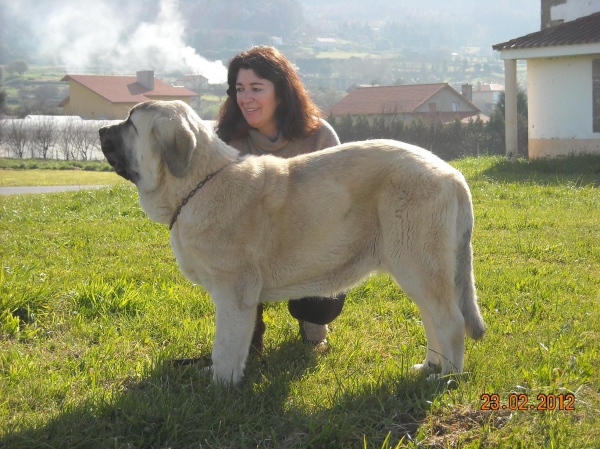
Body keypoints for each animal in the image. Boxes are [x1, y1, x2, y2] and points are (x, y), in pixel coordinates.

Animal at [98, 100, 482, 384]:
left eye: (130, 123)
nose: (100, 129)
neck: (198, 183)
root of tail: (452, 174)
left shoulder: (233, 292)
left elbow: (225, 346)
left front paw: (219, 386)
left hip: (418, 261)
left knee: (449, 320)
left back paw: (446, 378)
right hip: (419, 266)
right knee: (432, 317)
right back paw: (429, 366)